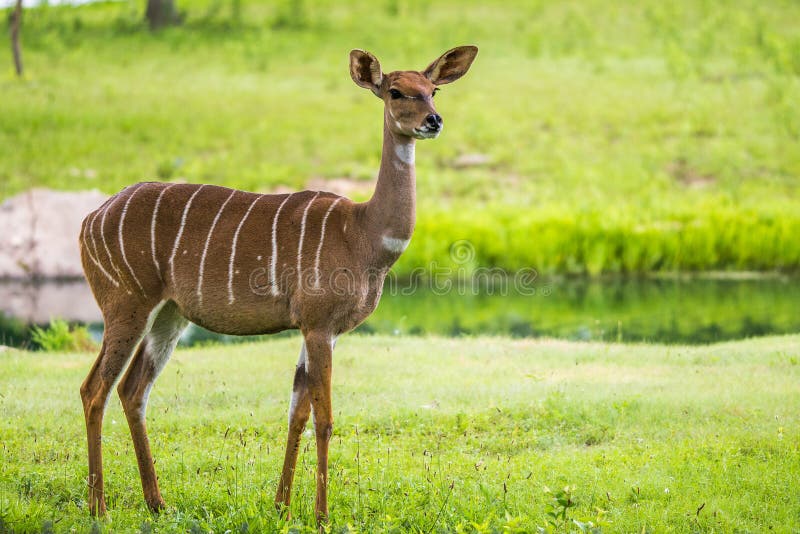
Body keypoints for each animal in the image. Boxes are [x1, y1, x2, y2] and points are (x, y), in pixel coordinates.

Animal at [79, 45, 482, 524]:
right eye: (396, 91)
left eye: (433, 89)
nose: (433, 121)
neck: (364, 234)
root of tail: (89, 219)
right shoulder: (319, 323)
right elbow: (324, 417)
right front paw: (322, 515)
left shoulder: (320, 329)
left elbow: (297, 412)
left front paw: (282, 507)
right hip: (126, 304)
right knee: (94, 390)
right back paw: (99, 509)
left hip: (169, 315)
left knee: (132, 389)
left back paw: (157, 503)